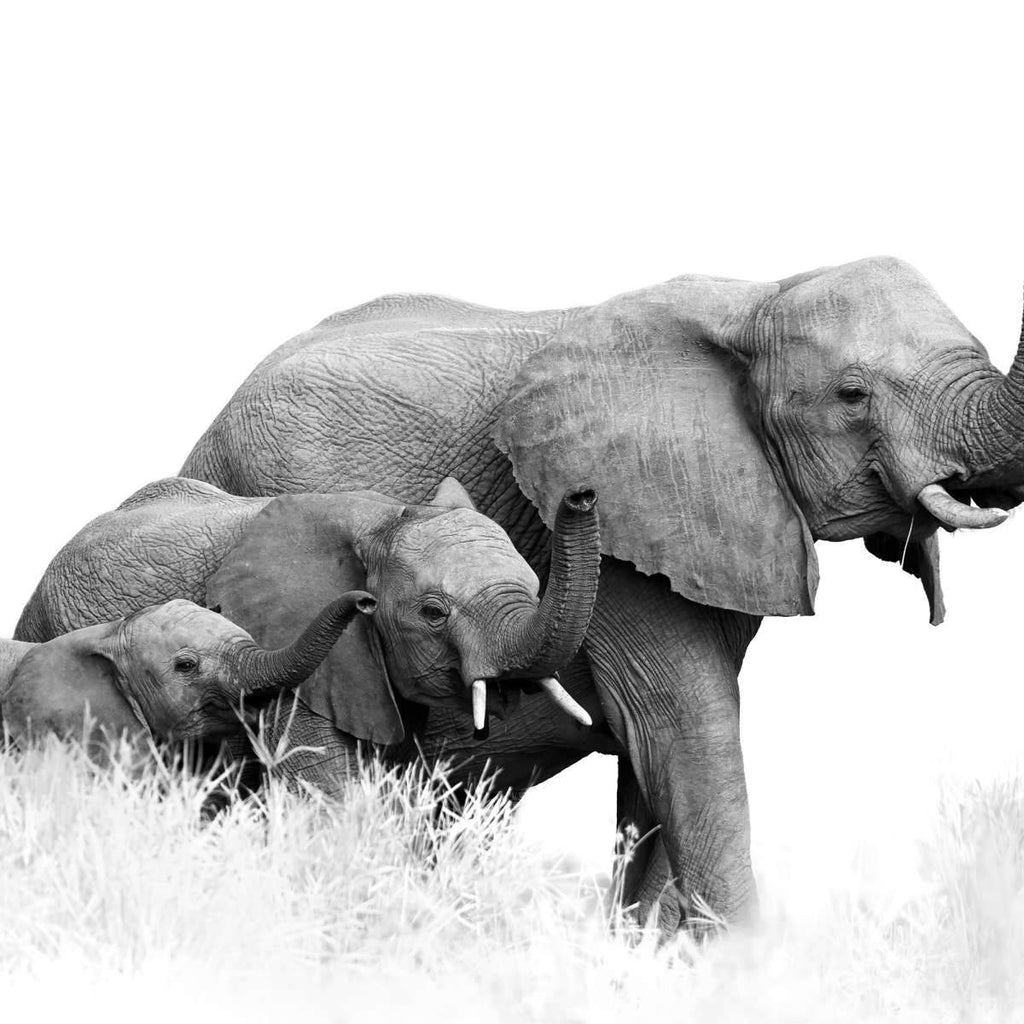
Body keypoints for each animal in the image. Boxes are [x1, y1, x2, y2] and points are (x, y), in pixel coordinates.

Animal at [146, 254, 1024, 929]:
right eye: (852, 393)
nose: (580, 499)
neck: (756, 297)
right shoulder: (635, 544)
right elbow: (683, 729)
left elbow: (662, 767)